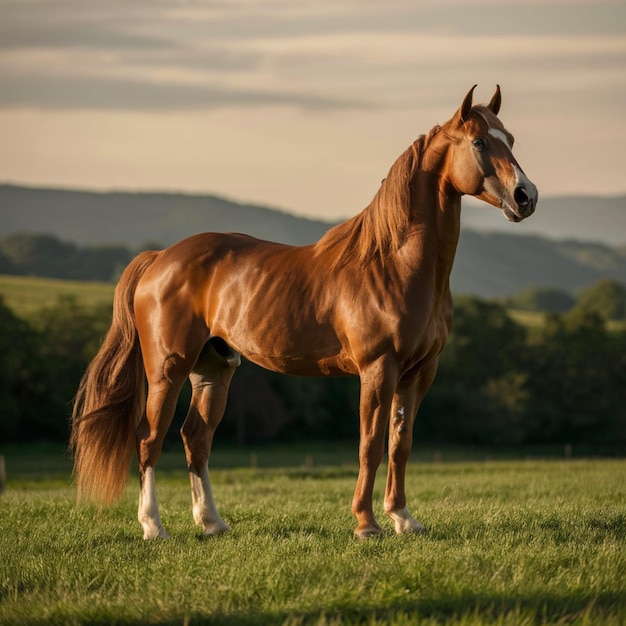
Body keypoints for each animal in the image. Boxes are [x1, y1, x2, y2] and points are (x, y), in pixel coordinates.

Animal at [69, 85, 536, 540]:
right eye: (479, 141)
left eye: (511, 140)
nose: (526, 196)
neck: (394, 264)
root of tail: (160, 258)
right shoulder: (378, 368)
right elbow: (370, 444)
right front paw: (366, 524)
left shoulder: (420, 372)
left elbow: (400, 444)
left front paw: (404, 519)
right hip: (168, 369)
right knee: (150, 439)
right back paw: (154, 527)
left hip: (213, 369)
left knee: (195, 438)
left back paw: (212, 523)